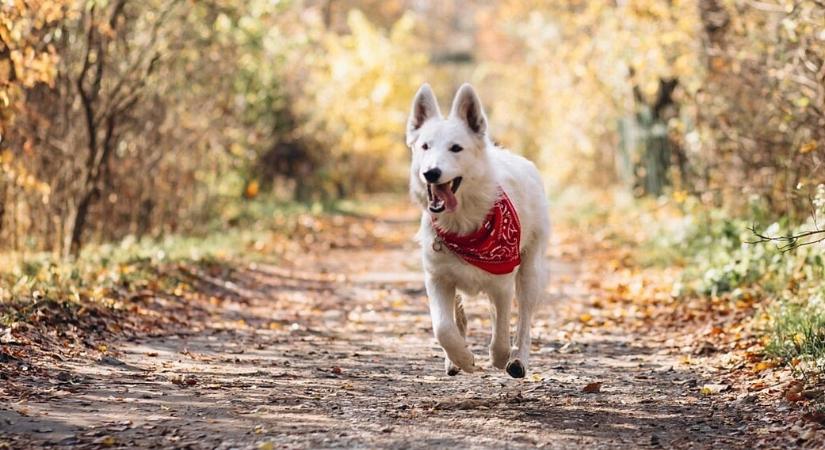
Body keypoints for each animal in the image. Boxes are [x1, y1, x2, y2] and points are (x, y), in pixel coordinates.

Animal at [404, 83, 548, 376]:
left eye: (456, 148)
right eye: (425, 146)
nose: (431, 173)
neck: (463, 224)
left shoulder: (503, 282)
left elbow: (501, 333)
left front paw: (500, 358)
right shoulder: (437, 279)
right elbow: (443, 328)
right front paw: (462, 358)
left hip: (529, 273)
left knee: (524, 320)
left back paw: (518, 361)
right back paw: (454, 361)